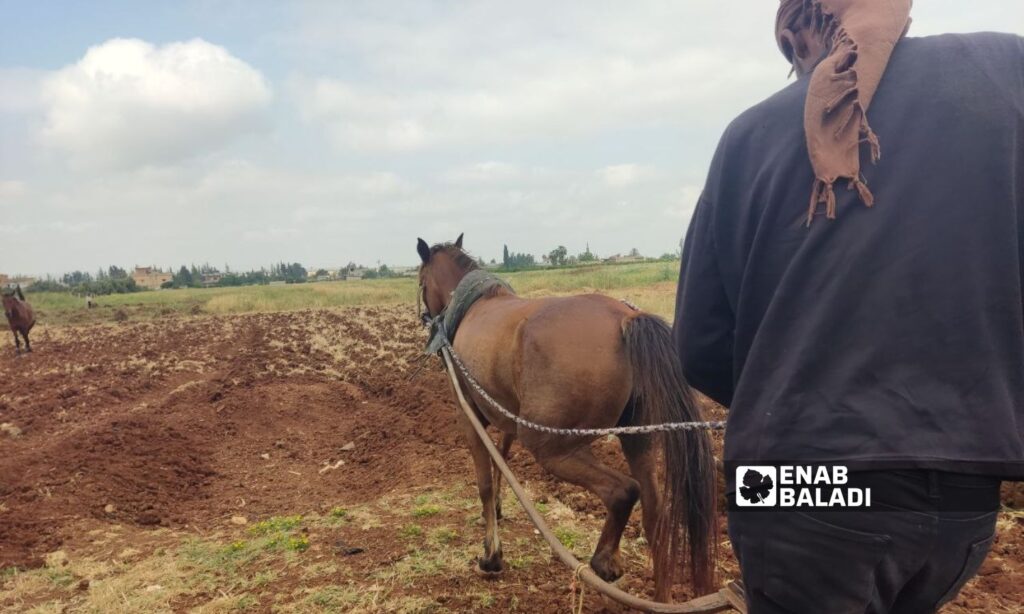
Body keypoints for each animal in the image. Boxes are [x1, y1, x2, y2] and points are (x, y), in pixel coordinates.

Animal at [417, 234, 720, 597]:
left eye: (420, 280)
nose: (424, 317)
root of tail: (624, 319)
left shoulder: (468, 415)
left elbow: (485, 482)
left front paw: (491, 555)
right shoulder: (506, 414)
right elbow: (501, 458)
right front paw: (501, 511)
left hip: (552, 446)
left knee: (623, 491)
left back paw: (604, 561)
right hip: (638, 437)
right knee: (653, 511)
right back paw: (659, 594)